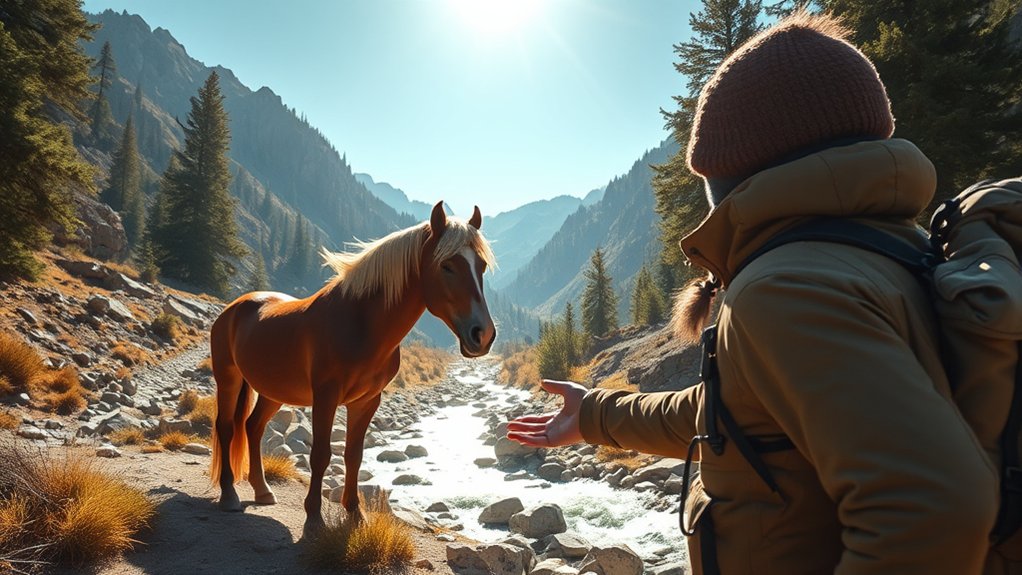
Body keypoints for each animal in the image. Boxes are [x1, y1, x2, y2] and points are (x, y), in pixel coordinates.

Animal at [208, 201, 496, 531]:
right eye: (447, 265)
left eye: (481, 266)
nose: (483, 335)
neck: (360, 325)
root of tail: (236, 306)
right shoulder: (326, 397)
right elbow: (321, 455)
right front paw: (313, 519)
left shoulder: (366, 401)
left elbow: (354, 456)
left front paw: (356, 514)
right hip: (228, 378)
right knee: (227, 427)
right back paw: (229, 494)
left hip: (272, 391)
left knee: (252, 428)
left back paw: (263, 491)